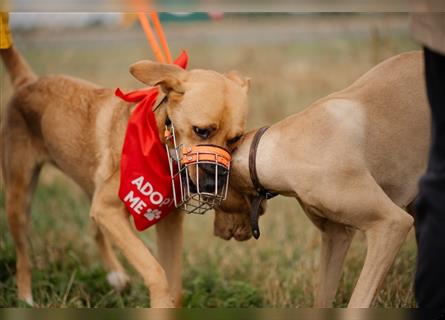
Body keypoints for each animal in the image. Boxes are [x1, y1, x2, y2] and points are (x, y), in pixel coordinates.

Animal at [215, 51, 430, 308]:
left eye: (216, 202)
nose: (218, 233)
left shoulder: (391, 225)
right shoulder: (335, 236)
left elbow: (358, 300)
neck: (283, 149)